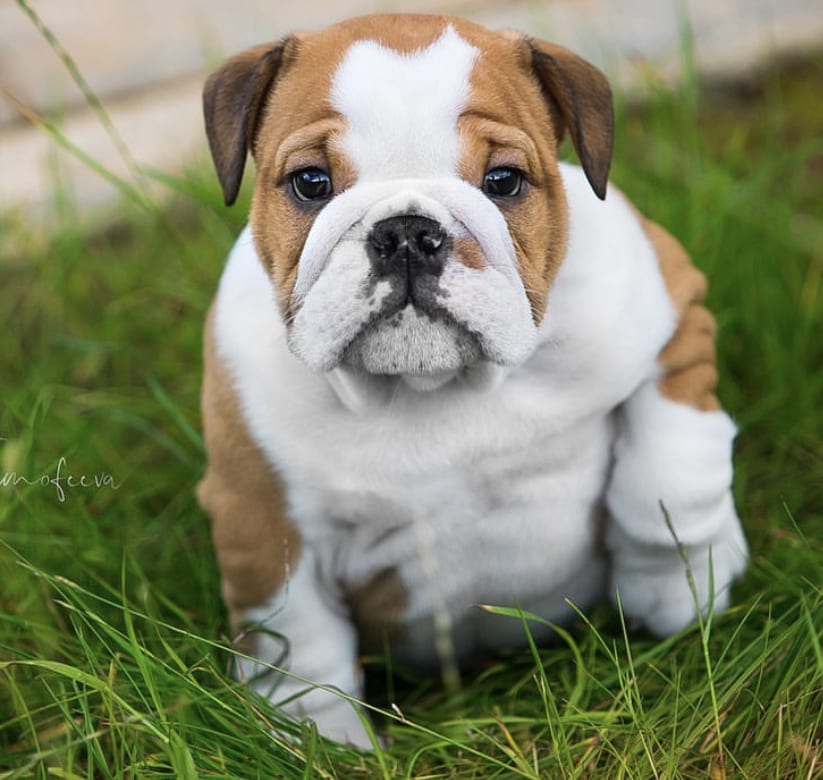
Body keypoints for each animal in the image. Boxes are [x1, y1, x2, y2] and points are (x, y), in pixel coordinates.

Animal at [196, 12, 748, 744]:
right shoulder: (260, 517)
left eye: (504, 180)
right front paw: (326, 741)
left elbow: (669, 478)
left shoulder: (673, 320)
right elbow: (299, 645)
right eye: (311, 183)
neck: (434, 386)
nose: (406, 232)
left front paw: (678, 584)